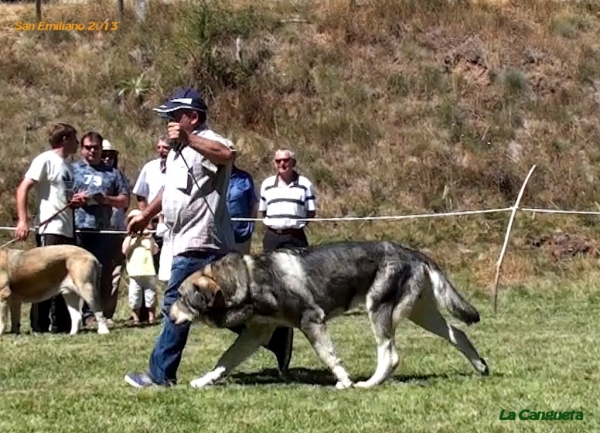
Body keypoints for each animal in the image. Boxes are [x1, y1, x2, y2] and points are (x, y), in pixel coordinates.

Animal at [169, 240, 488, 388]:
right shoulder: (255, 334)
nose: (169, 316)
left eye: (182, 298)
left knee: (390, 355)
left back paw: (367, 384)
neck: (248, 280)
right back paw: (481, 366)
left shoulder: (312, 321)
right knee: (458, 333)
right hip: (421, 315)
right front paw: (202, 381)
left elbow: (330, 356)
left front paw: (344, 382)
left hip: (379, 310)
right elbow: (224, 361)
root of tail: (414, 252)